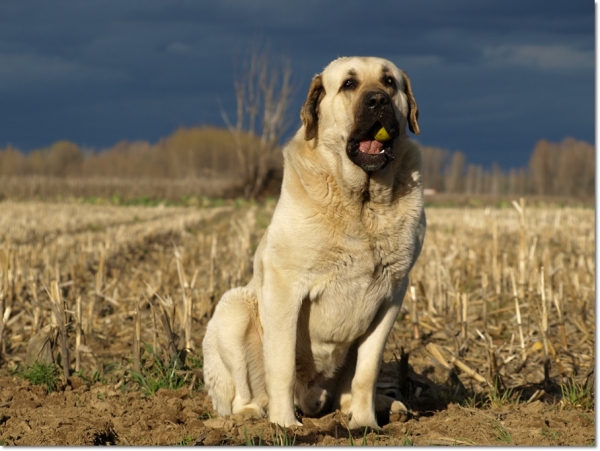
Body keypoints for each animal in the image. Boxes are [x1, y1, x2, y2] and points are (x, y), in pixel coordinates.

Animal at [203, 56, 426, 430]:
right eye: (349, 84)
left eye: (389, 82)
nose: (378, 100)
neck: (361, 203)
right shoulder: (285, 288)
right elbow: (281, 365)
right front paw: (285, 426)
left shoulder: (391, 296)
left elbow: (367, 370)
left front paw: (365, 424)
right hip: (233, 309)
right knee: (242, 396)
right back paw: (251, 416)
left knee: (347, 387)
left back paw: (379, 406)